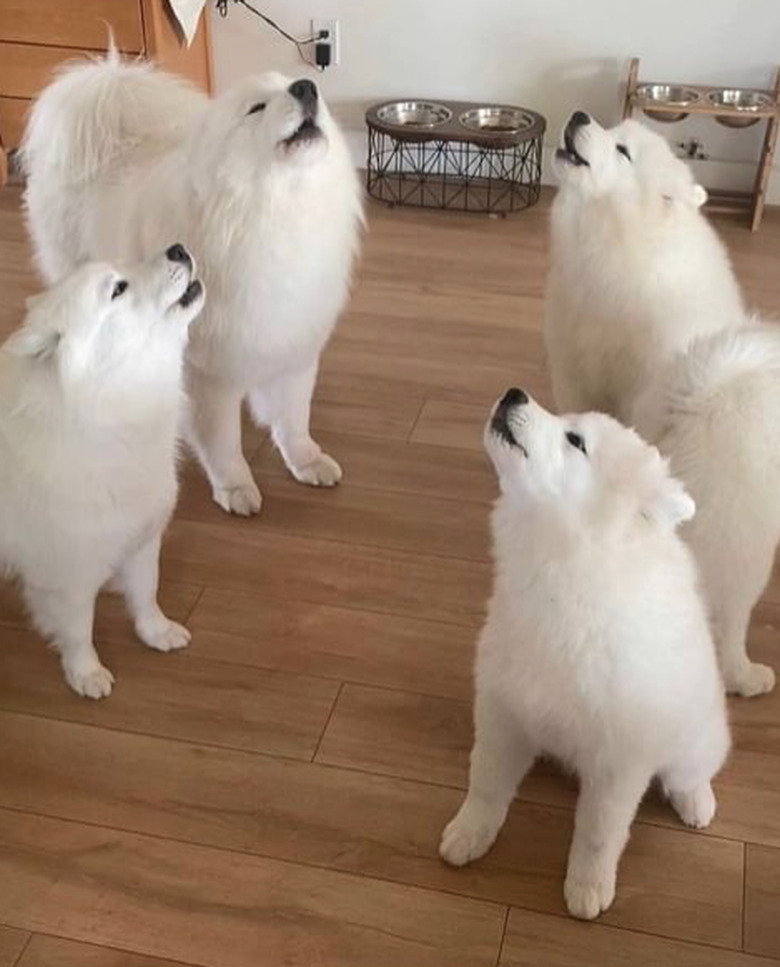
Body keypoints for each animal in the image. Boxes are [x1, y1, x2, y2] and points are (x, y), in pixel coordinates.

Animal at [0, 246, 204, 700]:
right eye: (118, 289)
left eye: (127, 266)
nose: (178, 248)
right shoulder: (69, 569)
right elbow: (79, 628)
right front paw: (86, 673)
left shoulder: (144, 534)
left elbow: (146, 591)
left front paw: (156, 631)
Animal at [442, 388, 728, 924]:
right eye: (565, 419)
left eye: (575, 441)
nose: (513, 392)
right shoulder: (502, 711)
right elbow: (485, 782)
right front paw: (469, 835)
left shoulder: (619, 760)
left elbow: (598, 833)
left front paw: (587, 888)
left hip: (693, 743)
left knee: (688, 773)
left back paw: (696, 802)